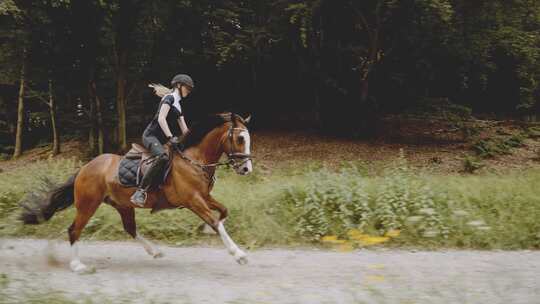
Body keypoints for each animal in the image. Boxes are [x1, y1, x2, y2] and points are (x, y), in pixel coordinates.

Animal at [22, 113, 254, 272]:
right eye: (240, 139)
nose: (246, 169)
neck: (194, 159)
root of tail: (84, 168)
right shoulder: (193, 200)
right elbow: (216, 221)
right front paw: (238, 254)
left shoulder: (204, 197)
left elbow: (223, 212)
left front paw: (207, 230)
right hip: (88, 205)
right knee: (74, 230)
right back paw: (78, 265)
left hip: (122, 205)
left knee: (130, 228)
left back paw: (155, 251)